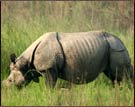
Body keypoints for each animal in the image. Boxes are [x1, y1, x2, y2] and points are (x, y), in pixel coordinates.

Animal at [2, 30, 134, 88]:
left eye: (10, 80)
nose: (6, 89)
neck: (26, 63)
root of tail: (121, 42)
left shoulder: (48, 68)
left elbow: (49, 87)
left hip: (116, 49)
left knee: (122, 75)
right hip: (111, 48)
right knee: (114, 77)